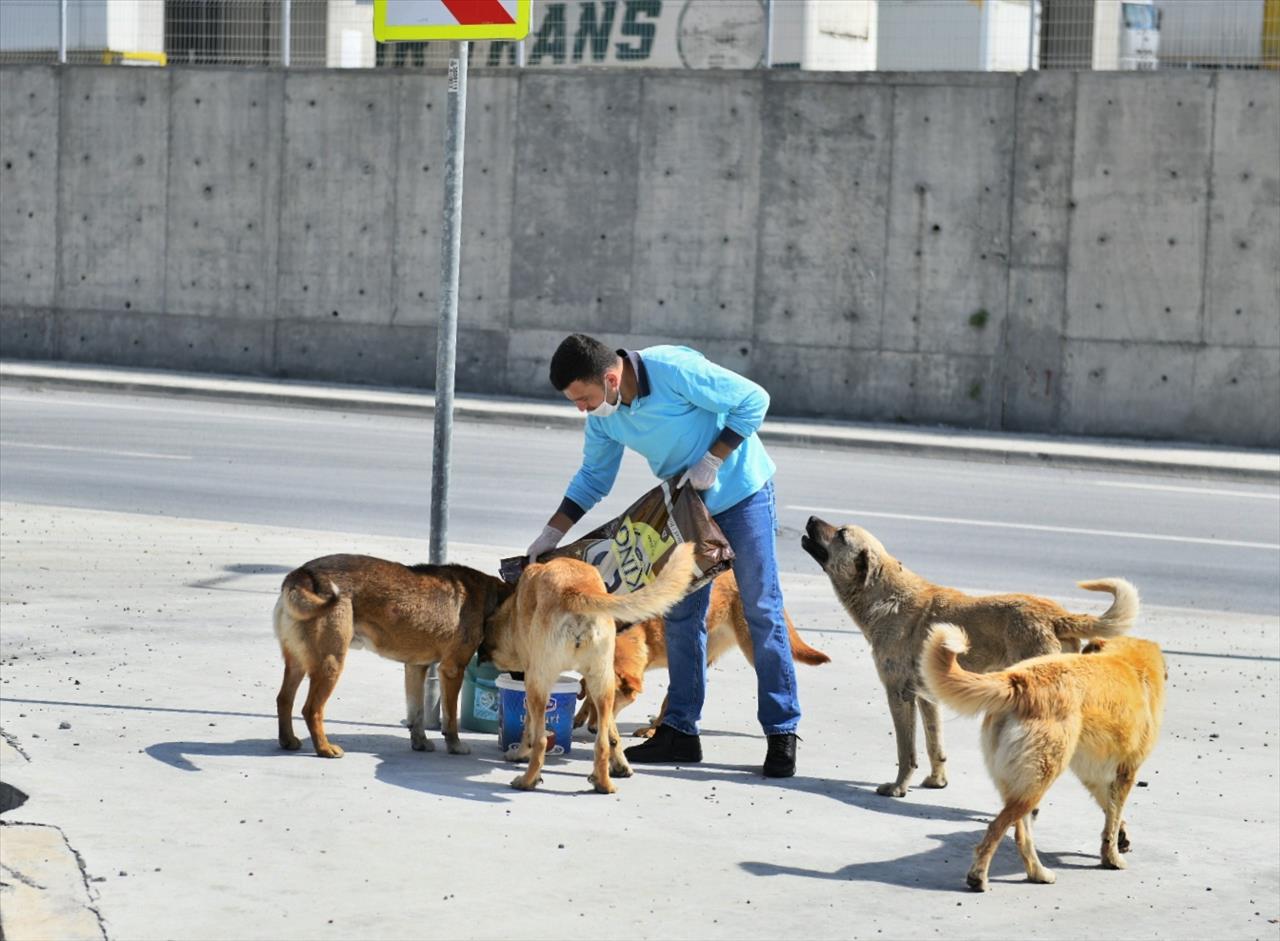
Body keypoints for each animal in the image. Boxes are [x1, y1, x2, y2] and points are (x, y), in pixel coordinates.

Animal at [273, 555, 509, 763]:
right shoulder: (452, 670)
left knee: (284, 699)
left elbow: (417, 714)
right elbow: (450, 718)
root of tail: (302, 574)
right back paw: (324, 749)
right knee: (311, 710)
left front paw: (420, 742)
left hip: (297, 664)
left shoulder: (415, 668)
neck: (494, 598)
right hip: (331, 664)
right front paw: (455, 745)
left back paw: (288, 740)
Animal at [481, 540, 701, 793]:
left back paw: (528, 781)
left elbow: (528, 728)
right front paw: (621, 765)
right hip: (603, 684)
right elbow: (613, 734)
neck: (513, 612)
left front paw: (519, 752)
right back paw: (603, 783)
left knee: (542, 740)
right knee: (603, 742)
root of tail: (576, 592)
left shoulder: (532, 678)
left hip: (539, 684)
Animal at [570, 565, 829, 737]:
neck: (642, 632)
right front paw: (581, 713)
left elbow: (670, 699)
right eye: (594, 701)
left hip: (749, 646)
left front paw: (655, 730)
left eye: (613, 701)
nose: (594, 729)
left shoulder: (681, 662)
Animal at [798, 519, 1141, 798]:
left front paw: (898, 787)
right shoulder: (926, 697)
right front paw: (937, 780)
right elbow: (934, 744)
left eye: (841, 533)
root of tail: (1056, 615)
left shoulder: (898, 695)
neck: (885, 595)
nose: (811, 518)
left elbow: (906, 750)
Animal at [926, 624, 1167, 891]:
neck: (1127, 660)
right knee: (997, 827)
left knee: (1020, 833)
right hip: (1040, 778)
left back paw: (1037, 873)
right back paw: (978, 876)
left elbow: (1110, 810)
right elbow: (1112, 821)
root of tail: (1019, 680)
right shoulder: (1126, 772)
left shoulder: (1094, 777)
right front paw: (1112, 857)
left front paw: (1120, 839)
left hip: (1020, 783)